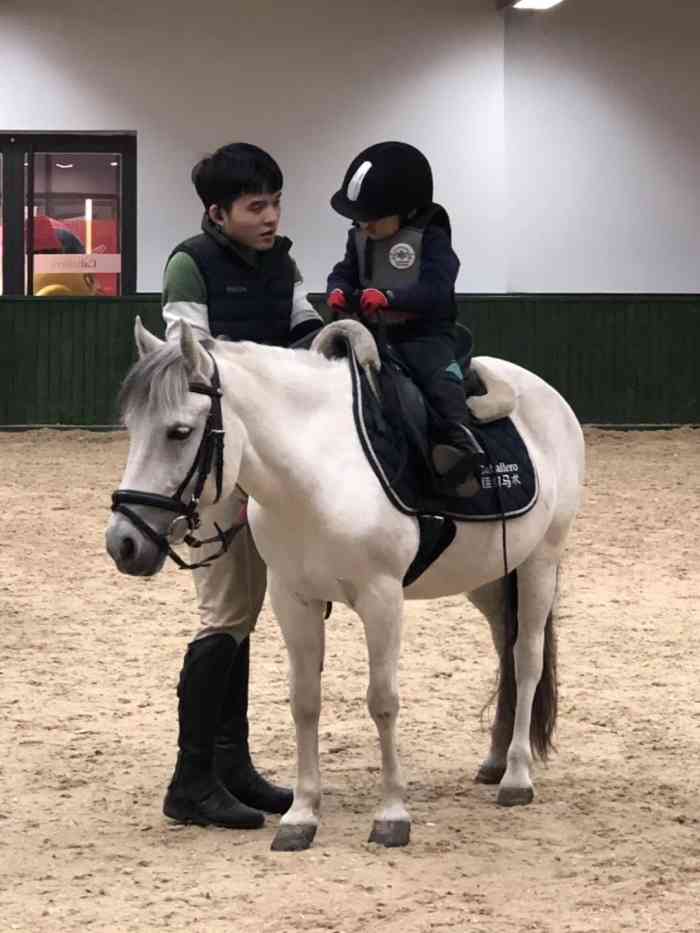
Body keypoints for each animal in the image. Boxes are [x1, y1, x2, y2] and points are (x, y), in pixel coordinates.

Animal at [105, 317, 585, 852]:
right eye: (133, 428)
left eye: (180, 431)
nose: (123, 542)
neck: (318, 475)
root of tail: (545, 395)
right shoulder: (293, 599)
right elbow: (304, 702)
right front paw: (300, 815)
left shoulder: (382, 599)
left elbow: (383, 700)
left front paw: (392, 814)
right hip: (490, 578)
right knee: (506, 651)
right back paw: (496, 760)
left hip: (540, 562)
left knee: (527, 659)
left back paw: (517, 776)